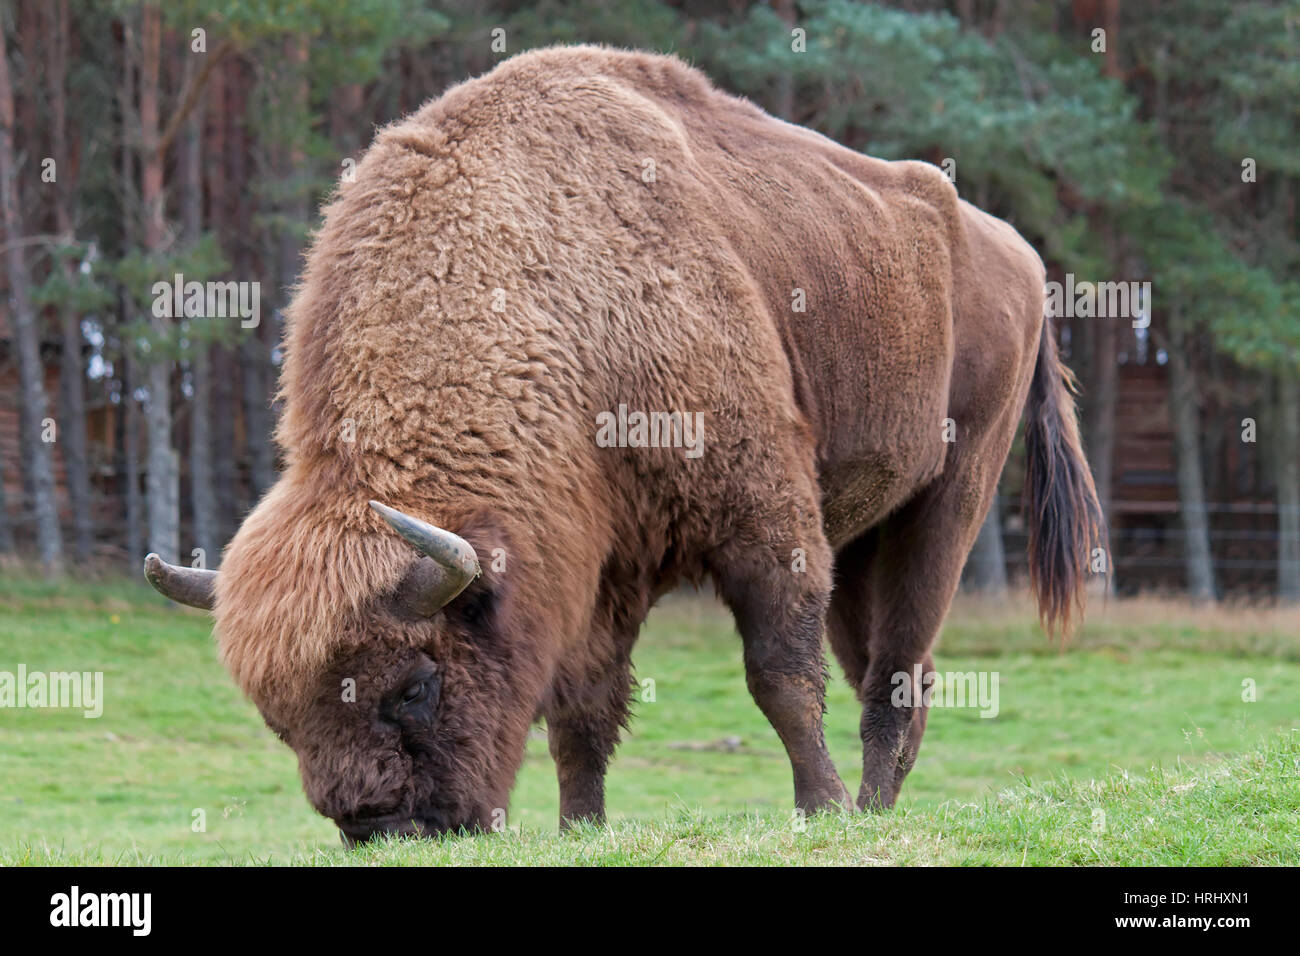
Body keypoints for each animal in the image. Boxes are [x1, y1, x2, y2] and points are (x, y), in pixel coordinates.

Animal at [144, 44, 1107, 842]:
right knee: (895, 665)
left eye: (413, 685)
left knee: (895, 669)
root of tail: (1014, 250)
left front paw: (818, 809)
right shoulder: (600, 564)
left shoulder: (764, 516)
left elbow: (778, 676)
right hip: (863, 534)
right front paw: (582, 827)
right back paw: (881, 806)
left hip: (950, 498)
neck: (554, 295)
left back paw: (864, 808)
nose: (379, 825)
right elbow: (583, 711)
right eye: (278, 718)